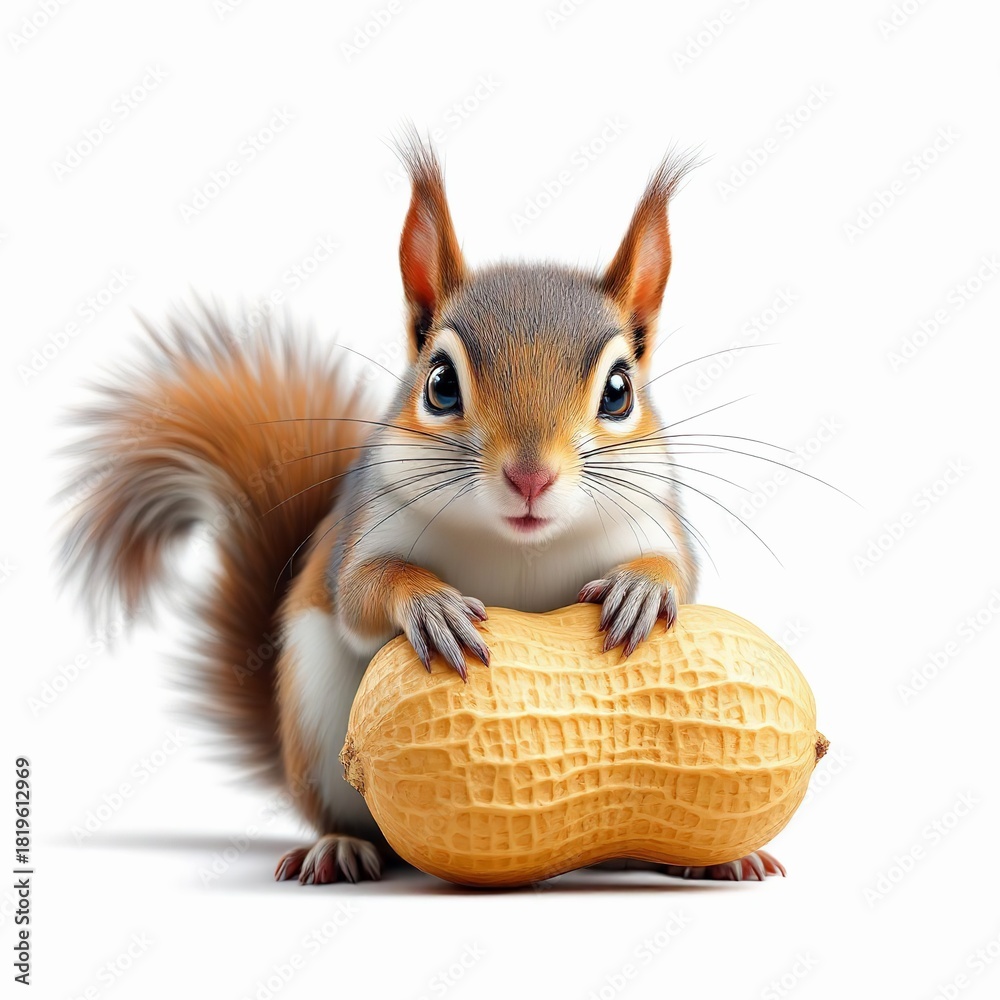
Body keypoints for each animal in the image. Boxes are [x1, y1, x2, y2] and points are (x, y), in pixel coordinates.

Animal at [59, 136, 785, 885]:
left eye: (619, 390)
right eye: (438, 383)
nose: (531, 476)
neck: (519, 547)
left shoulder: (653, 517)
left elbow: (680, 575)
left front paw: (642, 587)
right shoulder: (368, 529)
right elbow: (358, 595)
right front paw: (428, 604)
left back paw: (715, 860)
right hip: (318, 725)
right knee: (348, 816)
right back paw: (339, 847)